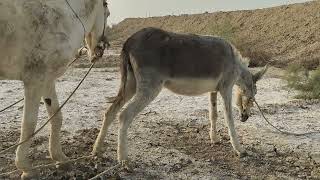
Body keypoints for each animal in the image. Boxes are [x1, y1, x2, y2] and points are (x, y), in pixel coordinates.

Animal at [0, 0, 110, 179]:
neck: (63, 17)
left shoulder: (47, 80)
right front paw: (26, 168)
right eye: (107, 13)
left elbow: (56, 117)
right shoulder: (35, 80)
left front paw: (60, 158)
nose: (100, 49)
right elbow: (29, 125)